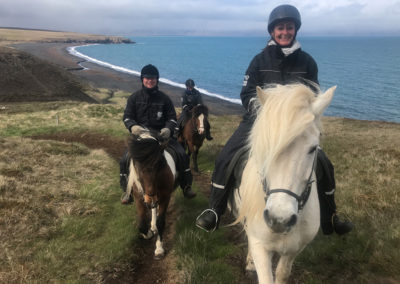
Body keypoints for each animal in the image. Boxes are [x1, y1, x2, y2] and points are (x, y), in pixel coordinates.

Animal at [124, 130, 176, 258]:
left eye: (159, 165)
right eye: (137, 166)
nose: (150, 198)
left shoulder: (165, 197)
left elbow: (161, 222)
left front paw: (159, 248)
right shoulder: (139, 197)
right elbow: (142, 225)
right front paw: (147, 234)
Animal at [230, 83, 336, 282]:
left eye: (313, 148)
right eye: (267, 148)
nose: (279, 219)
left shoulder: (294, 249)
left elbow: (282, 274)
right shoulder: (260, 246)